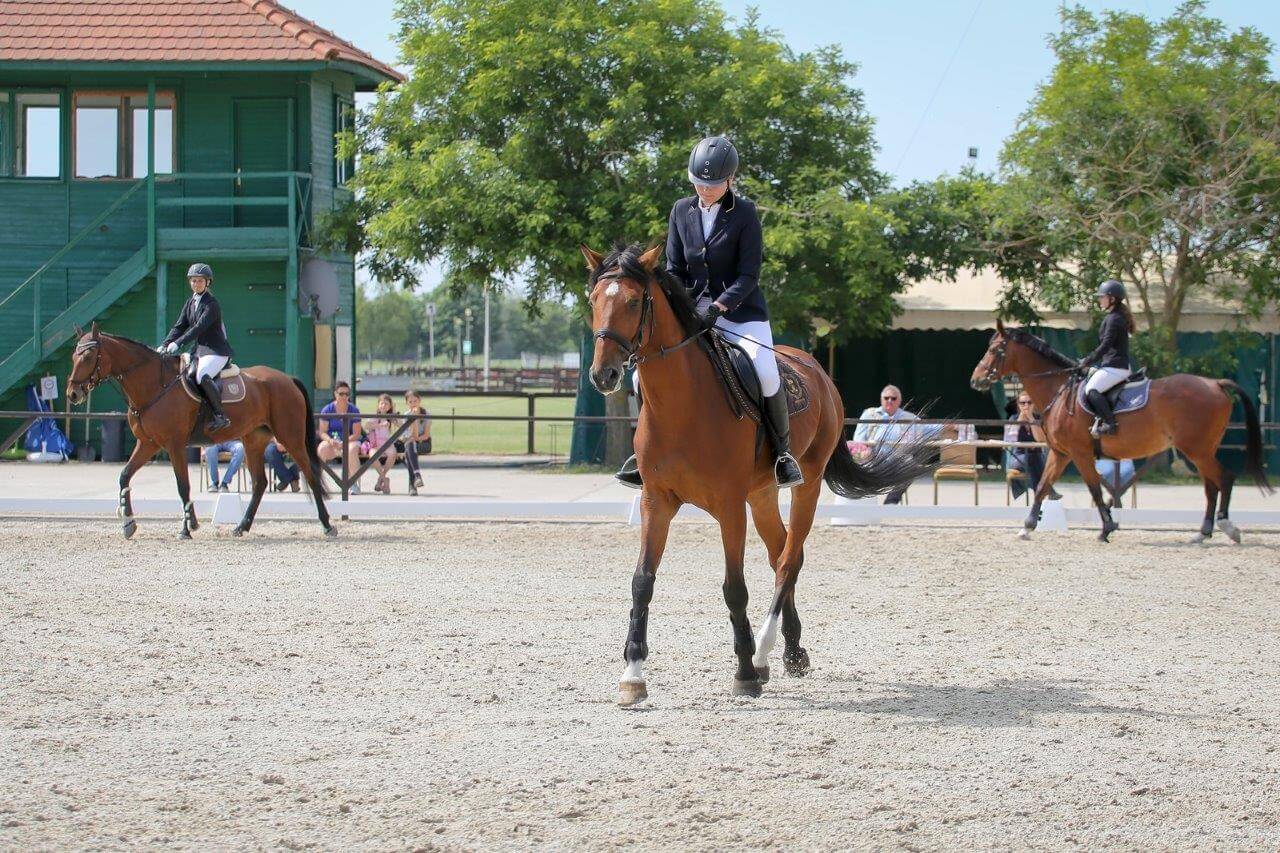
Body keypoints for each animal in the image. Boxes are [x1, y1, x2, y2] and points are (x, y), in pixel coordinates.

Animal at [65, 323, 335, 540]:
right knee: (260, 482)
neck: (154, 386)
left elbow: (182, 485)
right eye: (73, 356)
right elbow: (124, 476)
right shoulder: (148, 443)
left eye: (88, 356)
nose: (73, 394)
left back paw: (327, 525)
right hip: (253, 441)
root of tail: (287, 379)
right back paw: (241, 527)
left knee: (310, 473)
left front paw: (187, 528)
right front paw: (129, 523)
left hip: (290, 437)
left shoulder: (174, 445)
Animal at [583, 243, 935, 705]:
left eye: (633, 301)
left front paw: (745, 672)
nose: (603, 375)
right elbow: (642, 581)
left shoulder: (729, 506)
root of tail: (816, 368)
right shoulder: (656, 501)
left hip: (807, 482)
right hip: (762, 493)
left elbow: (734, 588)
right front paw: (633, 675)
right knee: (780, 552)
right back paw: (792, 651)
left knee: (789, 559)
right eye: (593, 301)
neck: (680, 406)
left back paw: (765, 652)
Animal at [970, 320, 1272, 543]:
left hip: (1196, 449)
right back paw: (1203, 533)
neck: (1059, 389)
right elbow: (1044, 485)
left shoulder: (1080, 453)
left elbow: (1093, 488)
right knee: (1212, 485)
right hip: (1201, 450)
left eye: (995, 350)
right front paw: (1027, 526)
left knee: (1224, 478)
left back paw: (1226, 527)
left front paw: (1107, 528)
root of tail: (1215, 384)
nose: (975, 380)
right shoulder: (1060, 452)